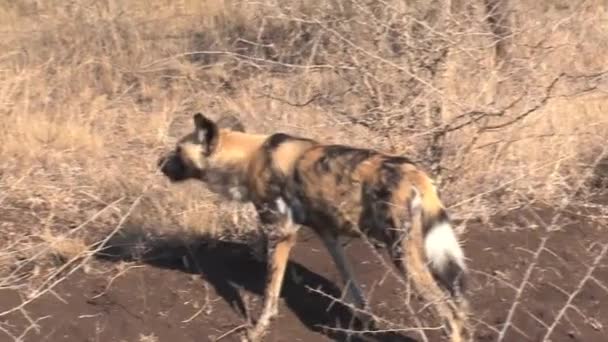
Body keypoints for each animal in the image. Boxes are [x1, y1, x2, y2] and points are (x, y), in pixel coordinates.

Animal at [157, 113, 470, 342]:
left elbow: (270, 294)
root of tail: (416, 174)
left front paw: (257, 331)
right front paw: (367, 327)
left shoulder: (281, 233)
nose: (159, 163)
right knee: (461, 309)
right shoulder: (329, 236)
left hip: (403, 256)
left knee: (452, 316)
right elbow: (354, 291)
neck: (248, 158)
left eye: (177, 151)